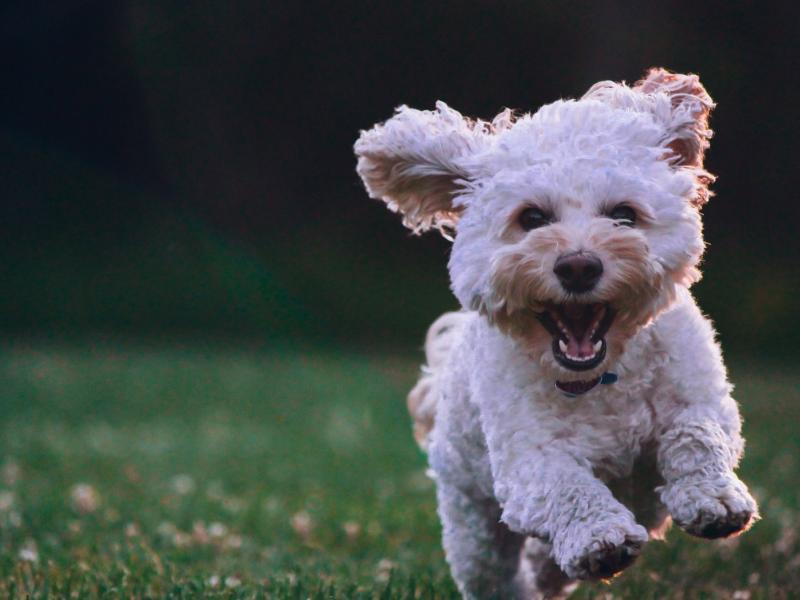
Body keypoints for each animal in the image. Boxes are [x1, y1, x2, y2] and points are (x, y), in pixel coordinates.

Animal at [354, 69, 756, 596]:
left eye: (623, 214)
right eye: (531, 218)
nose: (579, 266)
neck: (601, 378)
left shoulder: (701, 398)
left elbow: (697, 434)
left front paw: (714, 499)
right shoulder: (528, 460)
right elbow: (567, 486)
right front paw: (599, 537)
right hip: (471, 519)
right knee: (492, 570)